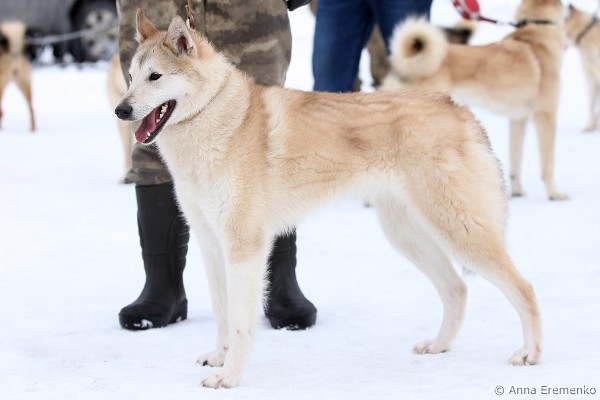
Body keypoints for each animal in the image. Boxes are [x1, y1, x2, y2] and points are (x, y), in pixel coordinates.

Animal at [115, 10, 542, 388]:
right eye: (131, 77)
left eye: (155, 77)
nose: (121, 109)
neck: (218, 120)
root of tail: (459, 111)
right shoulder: (211, 244)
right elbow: (223, 314)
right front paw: (220, 357)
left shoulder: (244, 247)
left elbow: (239, 323)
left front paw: (229, 377)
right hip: (408, 236)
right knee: (457, 289)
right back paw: (439, 345)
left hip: (459, 232)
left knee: (523, 288)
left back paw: (530, 354)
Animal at [382, 0, 567, 201]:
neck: (535, 34)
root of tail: (404, 66)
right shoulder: (546, 117)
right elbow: (548, 164)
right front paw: (554, 194)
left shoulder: (518, 120)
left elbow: (515, 161)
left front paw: (517, 191)